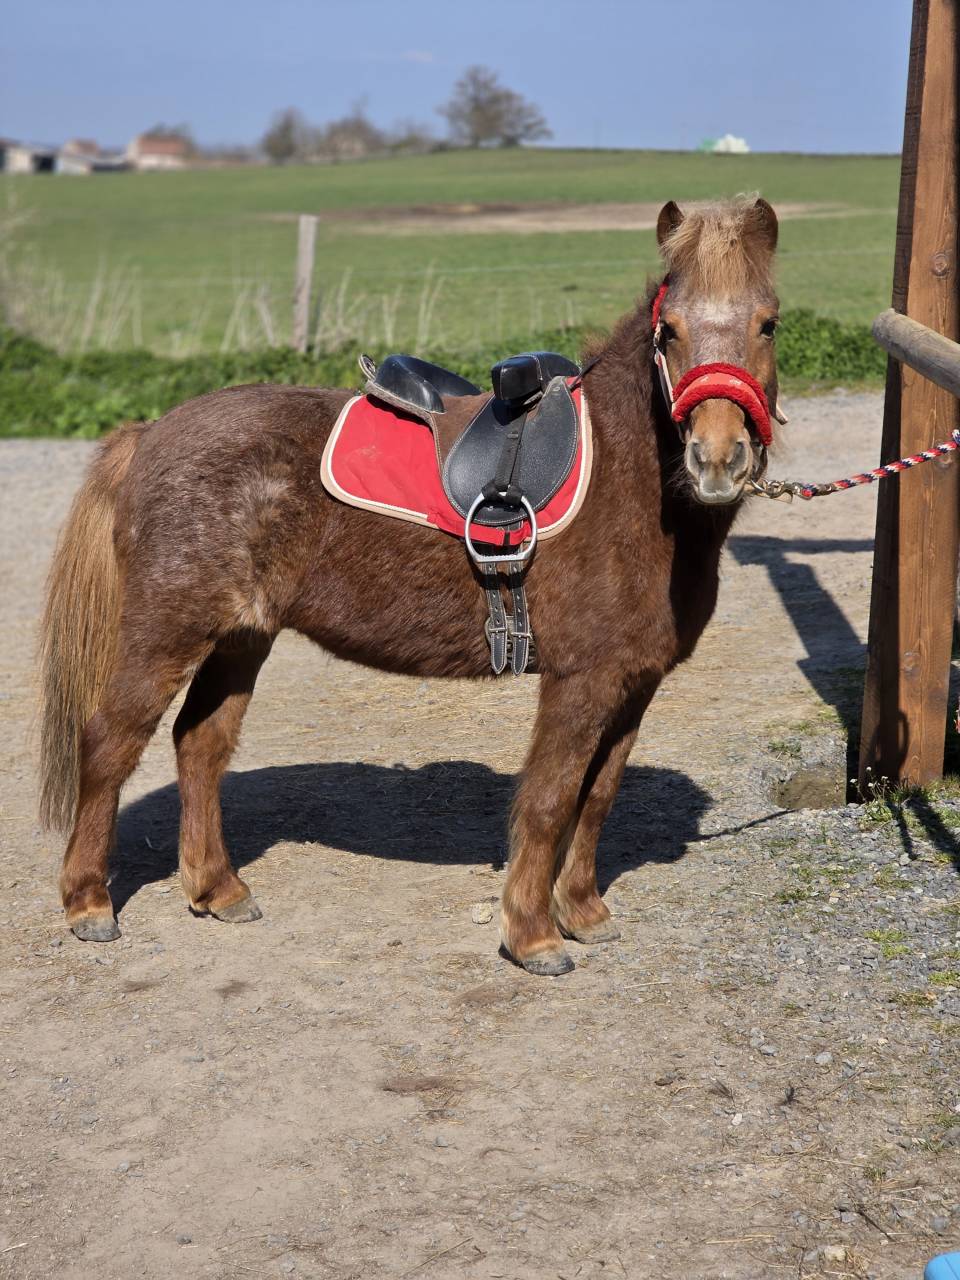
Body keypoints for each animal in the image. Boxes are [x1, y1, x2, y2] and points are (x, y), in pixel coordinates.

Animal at [39, 194, 782, 977]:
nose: (717, 460)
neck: (626, 478)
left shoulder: (635, 680)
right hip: (166, 633)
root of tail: (149, 434)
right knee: (110, 742)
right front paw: (533, 935)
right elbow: (551, 798)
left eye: (768, 322)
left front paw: (582, 912)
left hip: (242, 636)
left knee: (200, 744)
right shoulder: (581, 681)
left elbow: (599, 795)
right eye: (670, 331)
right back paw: (88, 903)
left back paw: (218, 889)